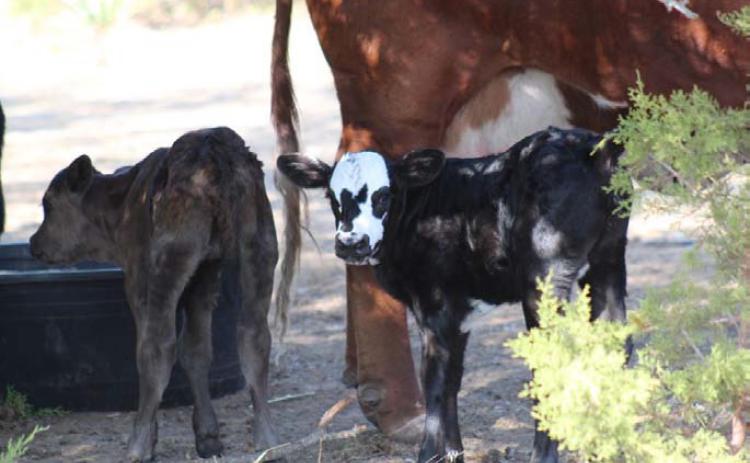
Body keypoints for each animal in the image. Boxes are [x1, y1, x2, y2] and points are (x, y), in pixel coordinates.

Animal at [29, 127, 287, 462]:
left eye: (48, 204)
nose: (33, 243)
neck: (119, 206)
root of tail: (213, 146)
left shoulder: (137, 279)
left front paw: (152, 440)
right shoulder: (204, 274)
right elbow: (197, 349)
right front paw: (208, 437)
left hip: (167, 262)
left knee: (157, 346)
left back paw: (136, 446)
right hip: (259, 247)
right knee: (254, 337)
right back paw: (269, 440)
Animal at [278, 127, 630, 463]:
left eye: (384, 195)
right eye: (331, 196)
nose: (351, 243)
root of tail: (590, 147)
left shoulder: (434, 305)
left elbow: (434, 381)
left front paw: (427, 455)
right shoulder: (459, 311)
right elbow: (452, 380)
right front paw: (451, 454)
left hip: (545, 276)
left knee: (551, 358)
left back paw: (544, 456)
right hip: (608, 261)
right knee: (619, 345)